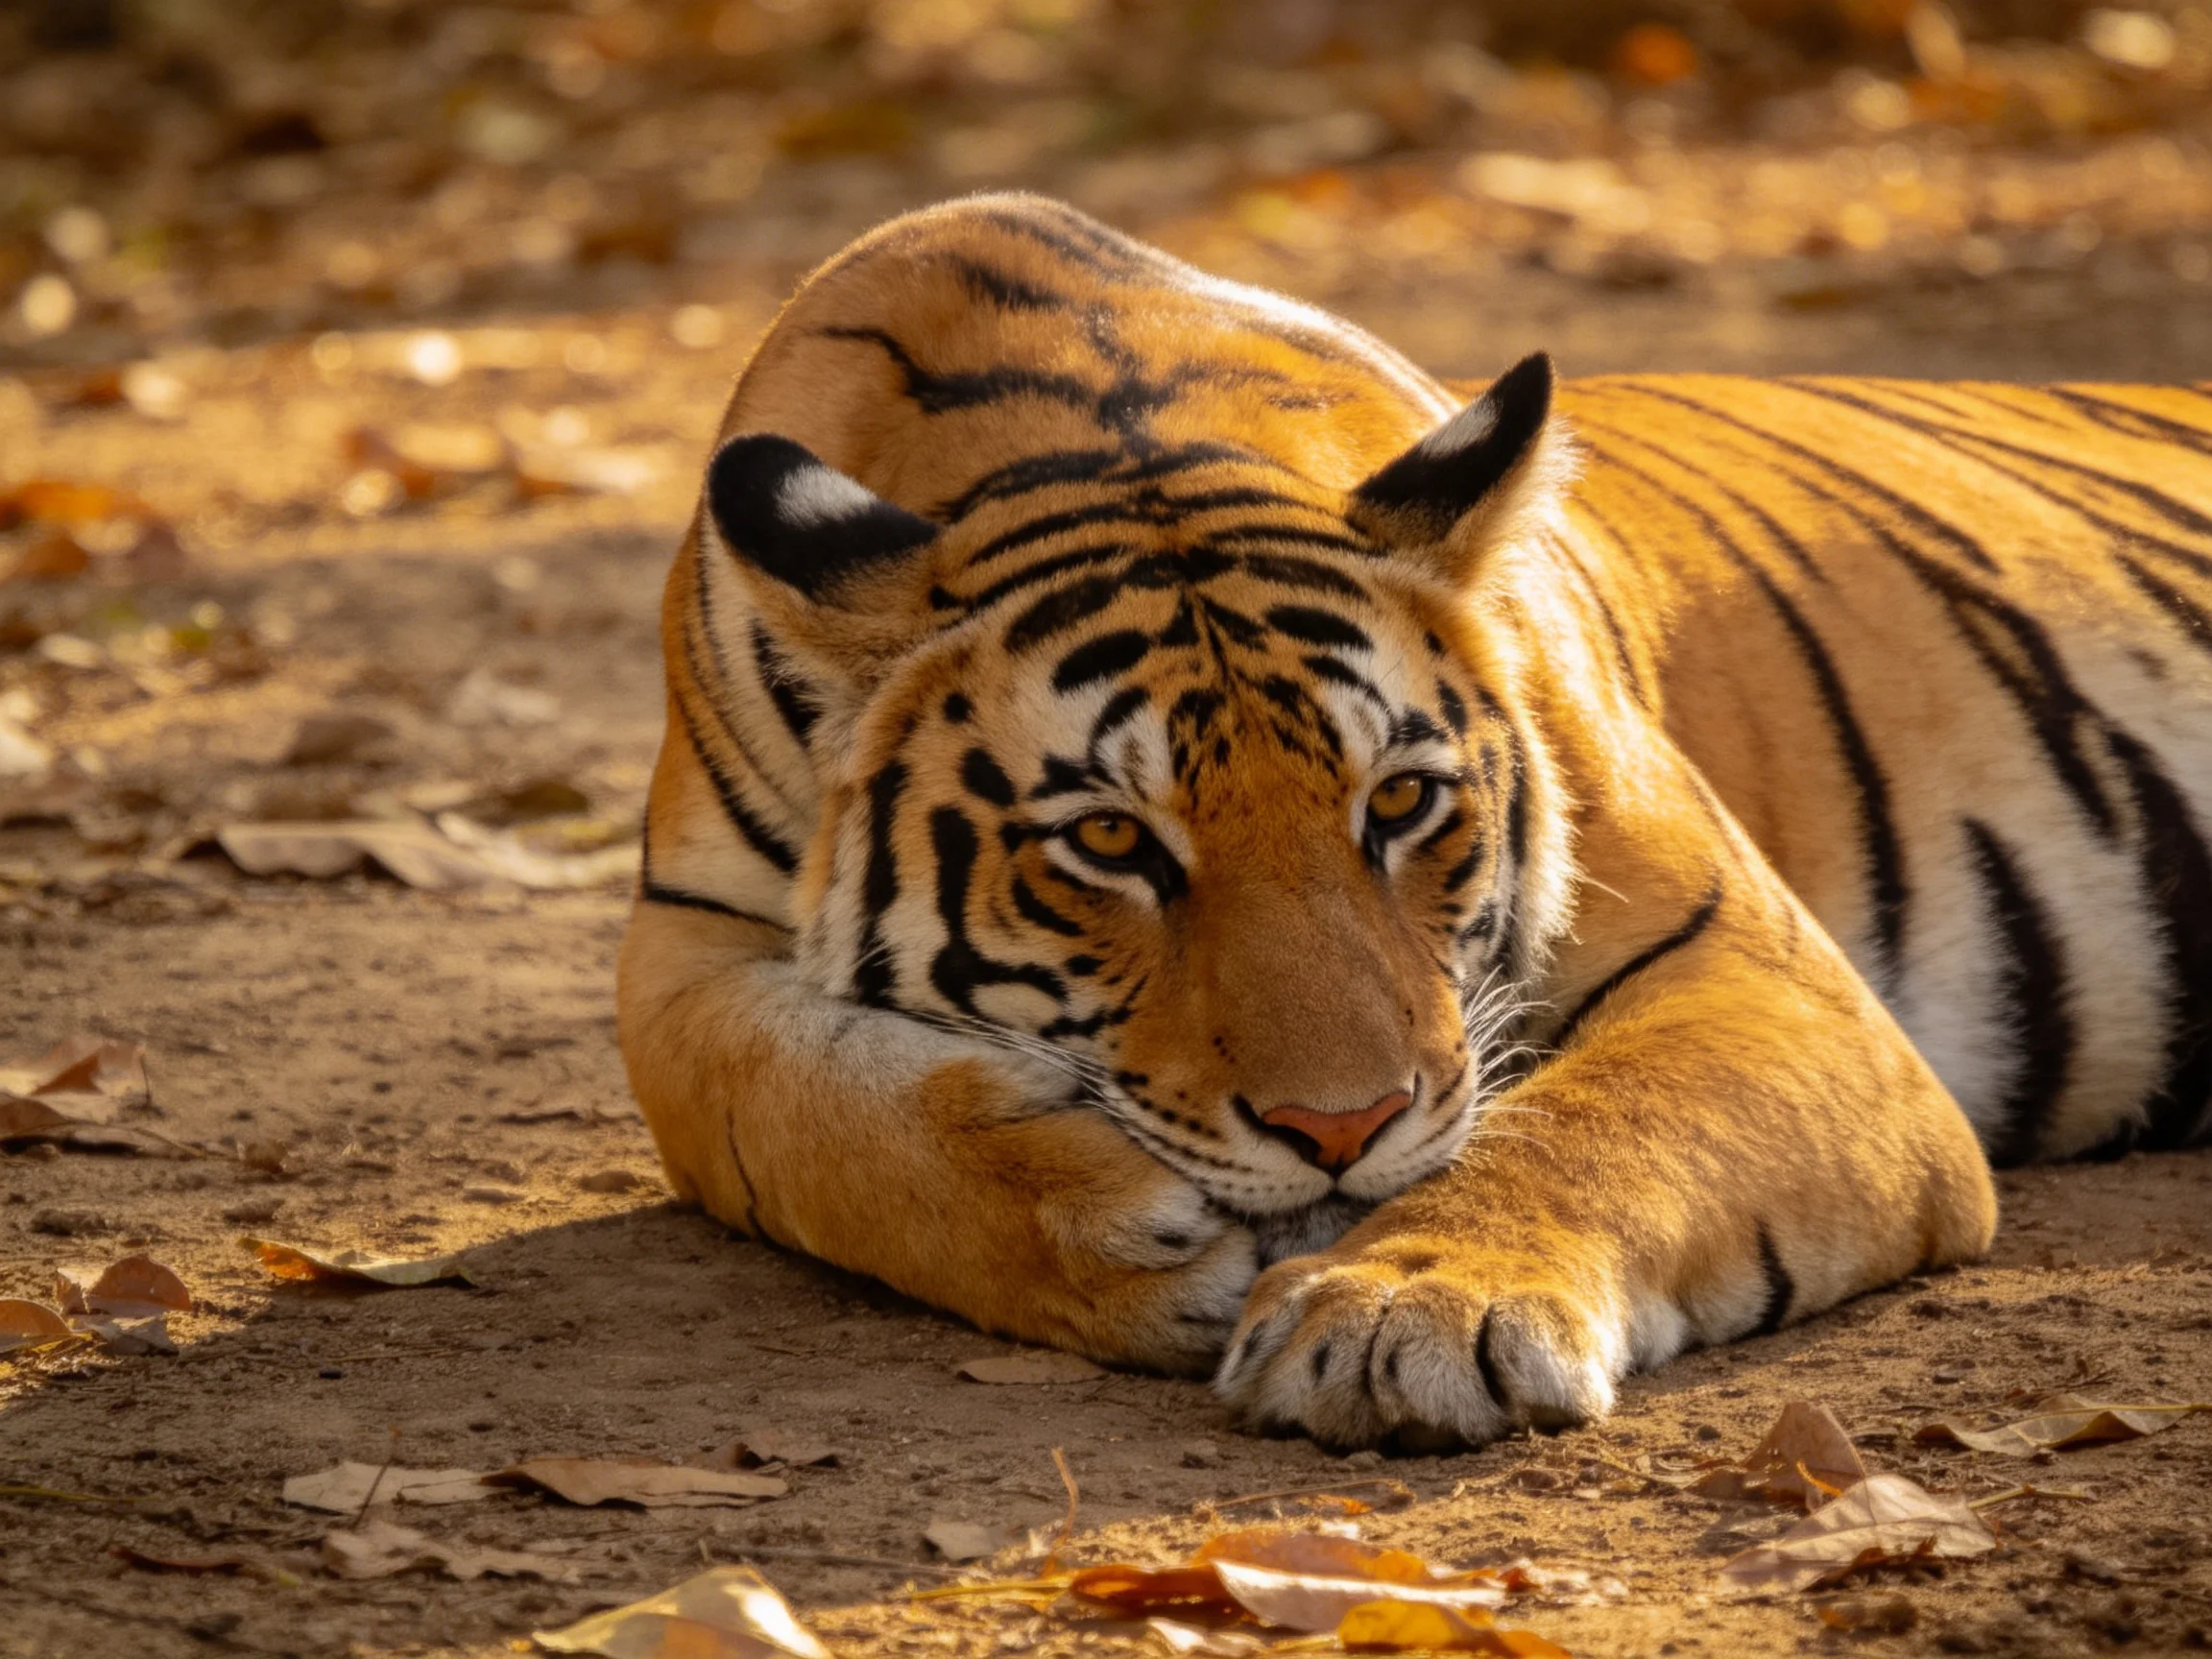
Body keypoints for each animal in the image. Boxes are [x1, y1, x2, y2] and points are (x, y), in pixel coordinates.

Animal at [616, 192, 2212, 1449]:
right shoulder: (678, 950)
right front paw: (1124, 1229)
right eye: (1113, 842)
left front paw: (1406, 1313)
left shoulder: (1766, 973)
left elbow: (1601, 1122)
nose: (1343, 1129)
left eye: (1398, 801)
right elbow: (796, 1109)